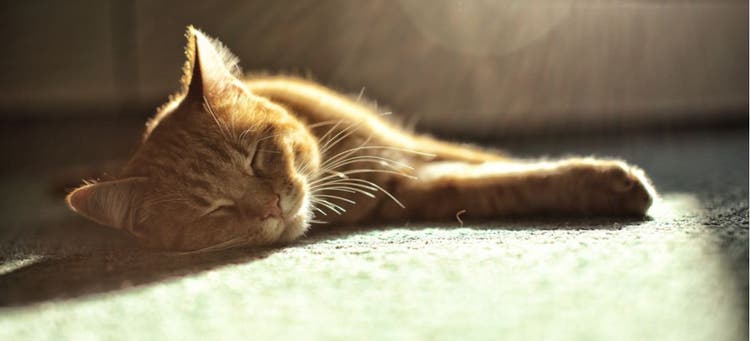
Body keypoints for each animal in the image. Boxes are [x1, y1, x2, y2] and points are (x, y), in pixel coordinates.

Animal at [64, 25, 656, 250]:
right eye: (214, 211)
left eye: (257, 157)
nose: (272, 204)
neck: (341, 166)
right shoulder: (416, 187)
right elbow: (507, 183)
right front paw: (609, 183)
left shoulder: (413, 147)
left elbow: (496, 160)